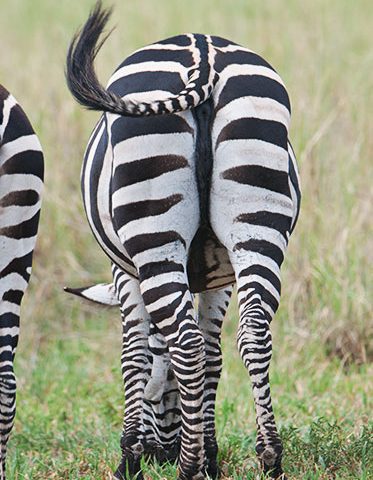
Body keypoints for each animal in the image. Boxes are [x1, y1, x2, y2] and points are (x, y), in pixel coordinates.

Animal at [66, 1, 300, 478]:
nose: (162, 454)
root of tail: (203, 52)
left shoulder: (124, 272)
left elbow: (136, 354)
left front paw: (130, 459)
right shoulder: (220, 274)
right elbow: (214, 356)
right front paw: (211, 454)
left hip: (152, 233)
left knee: (187, 343)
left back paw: (188, 467)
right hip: (258, 223)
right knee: (253, 334)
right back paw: (269, 455)